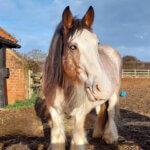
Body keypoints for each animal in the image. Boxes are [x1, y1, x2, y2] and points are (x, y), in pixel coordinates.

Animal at [42, 5, 122, 149]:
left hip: (114, 94)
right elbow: (58, 138)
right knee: (101, 111)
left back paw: (110, 137)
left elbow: (77, 139)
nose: (103, 87)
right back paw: (97, 133)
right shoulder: (54, 111)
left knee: (110, 112)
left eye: (97, 43)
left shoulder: (80, 112)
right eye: (72, 47)